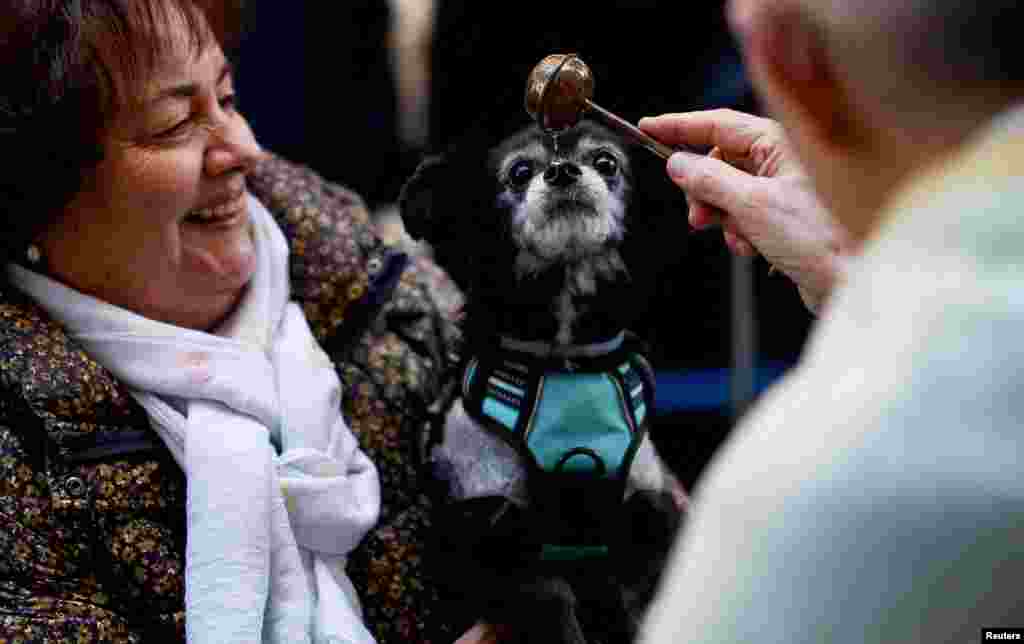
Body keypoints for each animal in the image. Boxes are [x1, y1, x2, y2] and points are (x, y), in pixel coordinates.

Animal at [399, 121, 688, 642]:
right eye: (519, 171)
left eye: (606, 162)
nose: (561, 170)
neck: (566, 360)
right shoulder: (488, 522)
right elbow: (547, 598)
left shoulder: (646, 511)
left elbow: (631, 597)